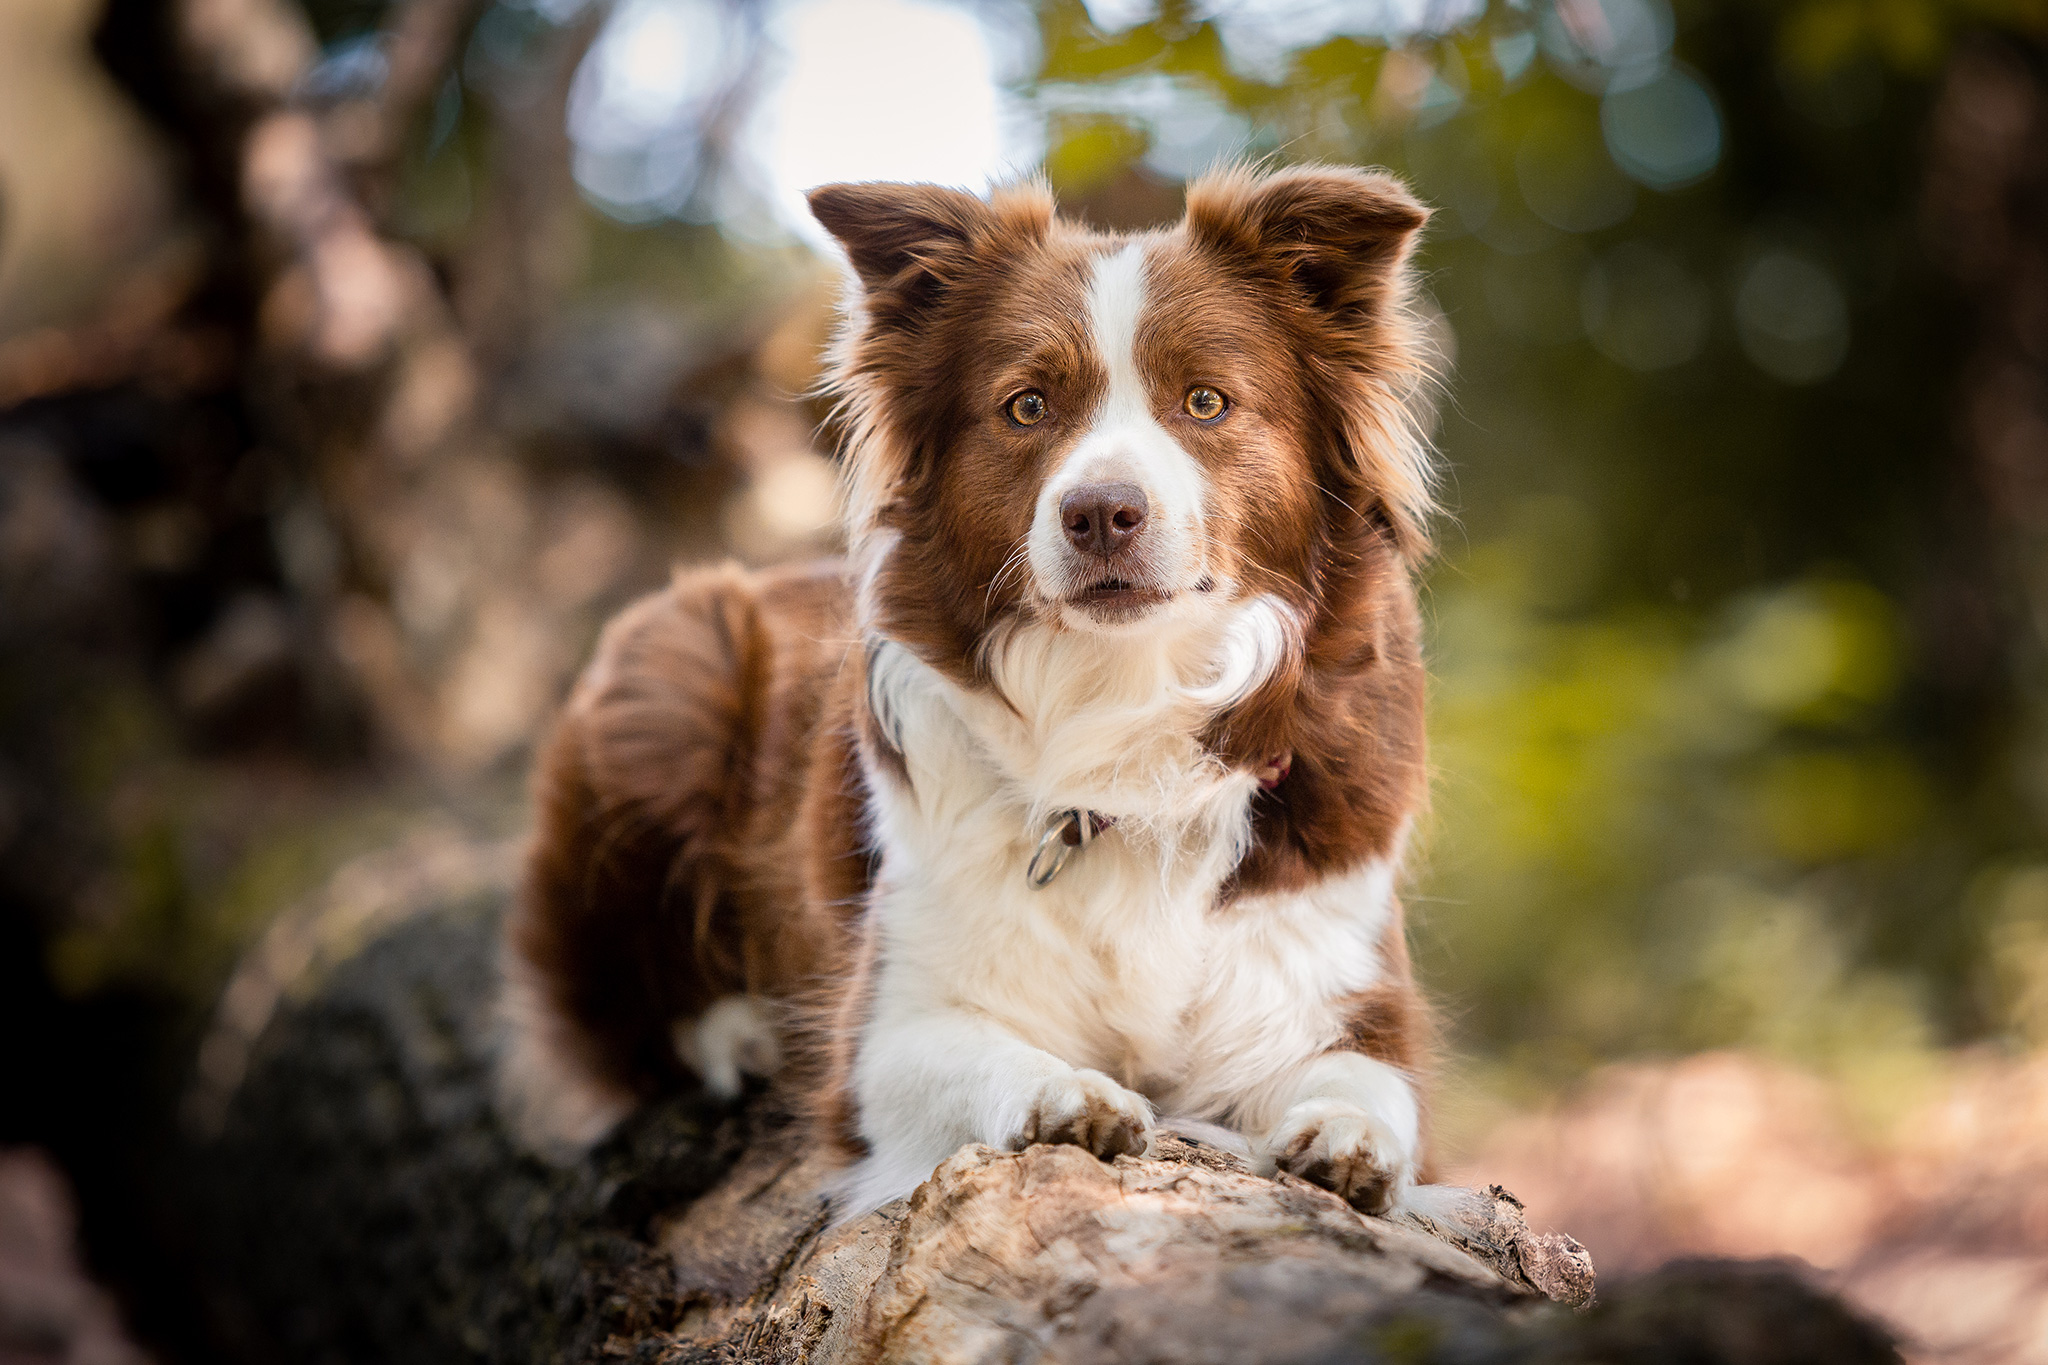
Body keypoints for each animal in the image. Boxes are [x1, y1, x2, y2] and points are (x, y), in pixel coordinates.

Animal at [495, 162, 1441, 1219]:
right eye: (1026, 406)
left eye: (1205, 400)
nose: (1100, 512)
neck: (1120, 705)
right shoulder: (883, 1031)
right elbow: (976, 1051)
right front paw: (1063, 1089)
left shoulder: (1342, 978)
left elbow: (1373, 1079)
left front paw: (1350, 1135)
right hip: (672, 664)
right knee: (616, 1012)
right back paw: (739, 1030)